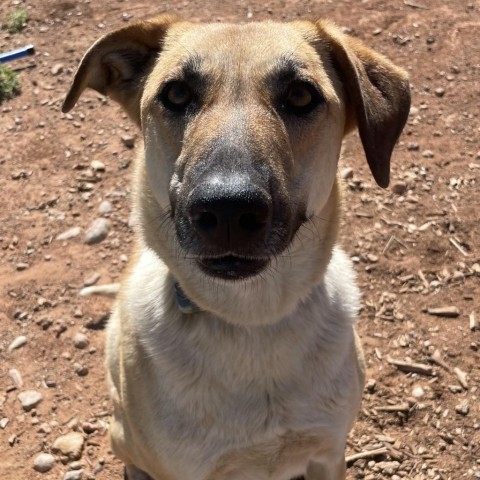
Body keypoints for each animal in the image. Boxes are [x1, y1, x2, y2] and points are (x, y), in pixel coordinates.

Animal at [62, 15, 408, 480]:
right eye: (176, 94)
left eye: (301, 95)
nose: (227, 209)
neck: (252, 321)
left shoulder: (328, 452)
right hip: (122, 433)